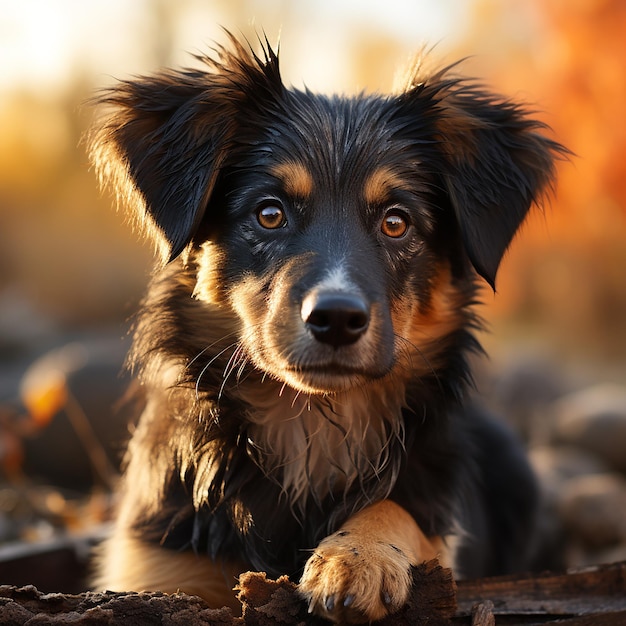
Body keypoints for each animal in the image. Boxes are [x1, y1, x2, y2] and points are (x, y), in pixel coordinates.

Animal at [89, 33, 564, 620]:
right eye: (269, 213)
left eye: (396, 222)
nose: (337, 318)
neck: (311, 423)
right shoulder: (159, 561)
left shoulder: (437, 517)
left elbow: (397, 506)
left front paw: (357, 557)